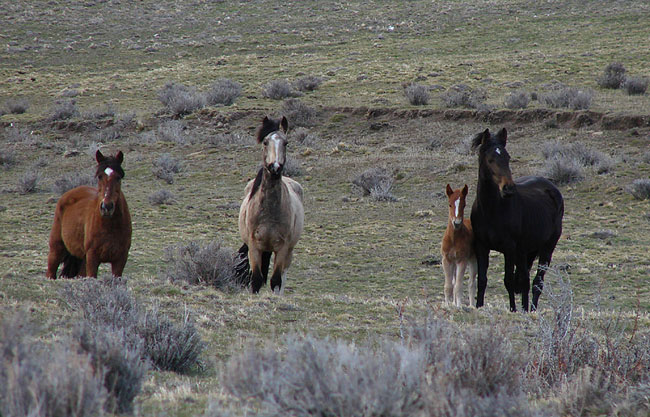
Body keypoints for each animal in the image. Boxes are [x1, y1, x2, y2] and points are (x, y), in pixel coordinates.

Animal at [47, 150, 132, 279]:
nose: (106, 207)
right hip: (56, 250)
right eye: (100, 176)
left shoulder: (120, 259)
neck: (110, 226)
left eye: (118, 177)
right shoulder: (92, 257)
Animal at [237, 116, 304, 294]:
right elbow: (256, 279)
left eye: (286, 143)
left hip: (288, 252)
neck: (268, 212)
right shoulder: (254, 247)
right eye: (266, 142)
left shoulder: (282, 248)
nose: (275, 167)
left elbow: (276, 281)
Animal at [470, 128, 564, 312]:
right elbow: (482, 280)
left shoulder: (509, 248)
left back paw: (531, 310)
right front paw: (478, 306)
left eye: (508, 157)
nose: (508, 188)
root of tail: (551, 188)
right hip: (527, 251)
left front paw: (513, 309)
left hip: (546, 248)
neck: (492, 210)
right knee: (524, 280)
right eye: (490, 159)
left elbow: (508, 281)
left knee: (536, 282)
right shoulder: (481, 246)